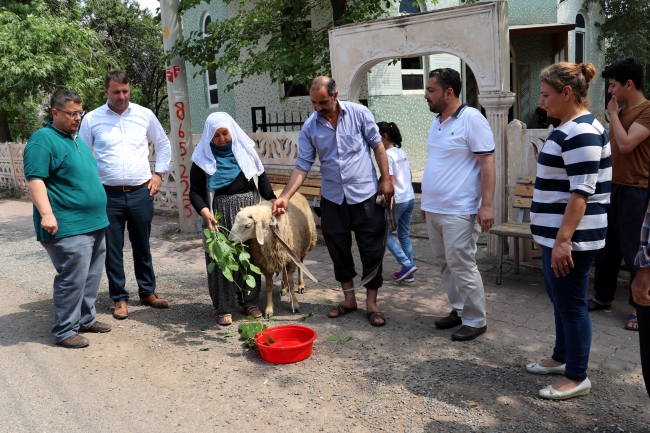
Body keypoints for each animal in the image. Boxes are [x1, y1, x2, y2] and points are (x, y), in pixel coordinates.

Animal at [228, 189, 316, 318]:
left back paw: (301, 285)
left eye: (248, 225)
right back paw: (283, 289)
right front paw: (269, 309)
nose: (230, 240)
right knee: (284, 273)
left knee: (301, 265)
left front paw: (295, 304)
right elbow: (269, 286)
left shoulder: (291, 261)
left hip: (302, 247)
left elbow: (291, 283)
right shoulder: (265, 264)